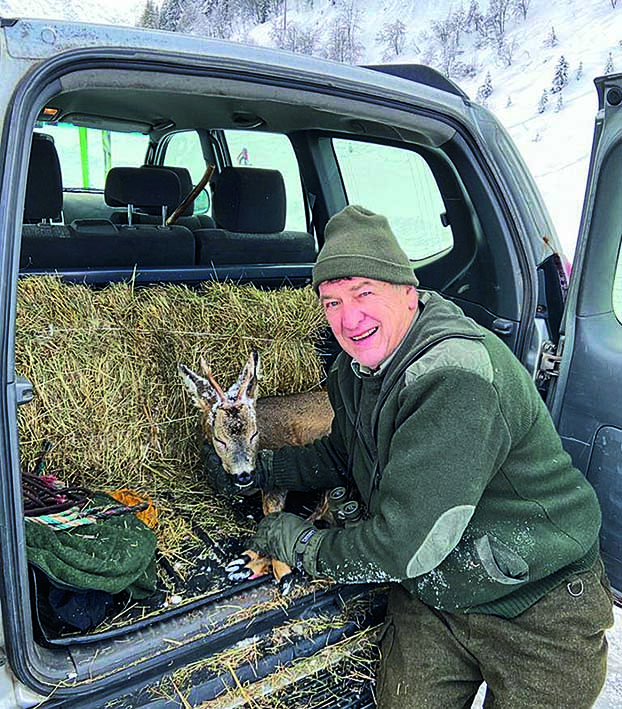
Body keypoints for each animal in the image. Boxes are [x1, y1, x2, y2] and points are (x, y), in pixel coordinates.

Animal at [180, 352, 336, 588]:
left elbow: (271, 511)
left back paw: (247, 565)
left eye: (254, 433)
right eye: (220, 439)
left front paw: (281, 570)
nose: (244, 475)